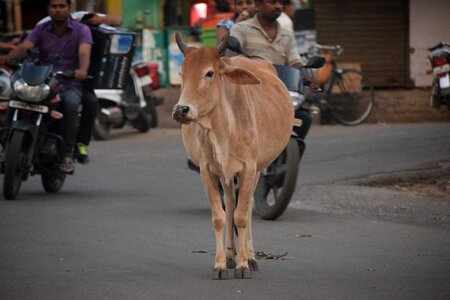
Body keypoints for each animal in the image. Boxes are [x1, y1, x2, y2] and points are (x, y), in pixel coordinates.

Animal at [171, 32, 292, 278]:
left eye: (209, 73)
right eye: (181, 73)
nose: (181, 110)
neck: (223, 127)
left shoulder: (248, 168)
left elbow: (242, 216)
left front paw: (243, 264)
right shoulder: (207, 171)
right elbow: (220, 217)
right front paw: (219, 264)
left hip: (257, 170)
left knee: (245, 208)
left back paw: (251, 258)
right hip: (225, 175)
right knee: (229, 205)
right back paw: (229, 256)